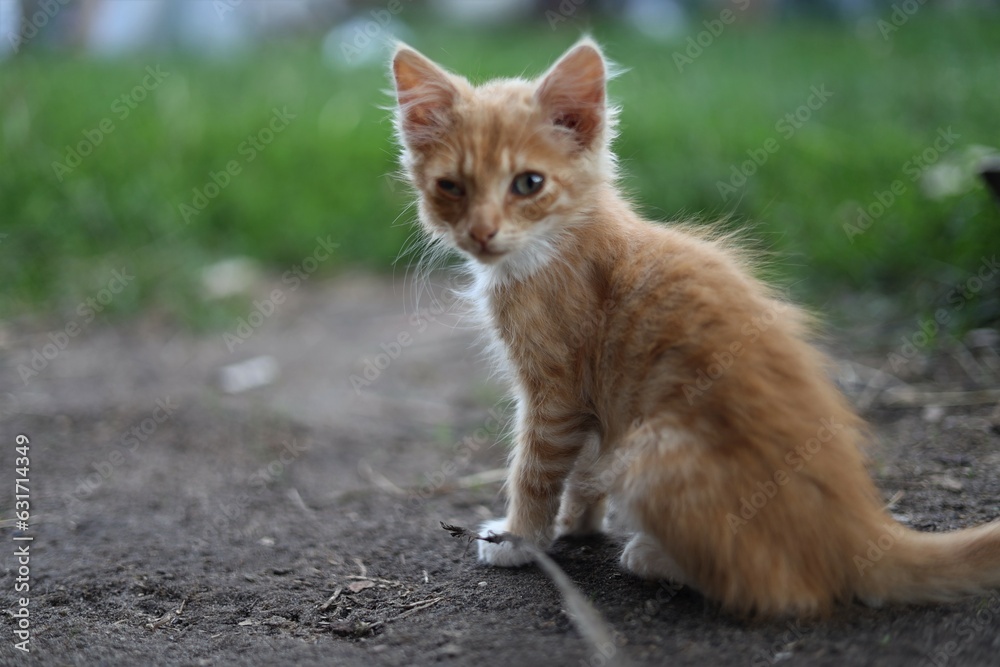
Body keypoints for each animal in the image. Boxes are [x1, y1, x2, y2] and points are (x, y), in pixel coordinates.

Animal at [388, 39, 1000, 620]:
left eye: (528, 183)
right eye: (451, 187)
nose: (481, 232)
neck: (557, 242)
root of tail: (858, 524)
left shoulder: (556, 391)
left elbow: (534, 469)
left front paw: (519, 538)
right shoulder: (594, 401)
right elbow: (584, 468)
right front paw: (577, 523)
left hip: (650, 452)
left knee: (785, 590)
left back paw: (653, 557)